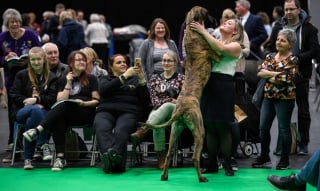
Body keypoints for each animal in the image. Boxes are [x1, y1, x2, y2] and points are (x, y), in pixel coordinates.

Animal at [144, 5, 220, 182]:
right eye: (206, 12)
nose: (215, 20)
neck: (191, 30)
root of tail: (180, 110)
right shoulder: (215, 54)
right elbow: (218, 53)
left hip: (174, 132)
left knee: (168, 154)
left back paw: (164, 175)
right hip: (199, 130)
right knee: (195, 157)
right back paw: (201, 178)